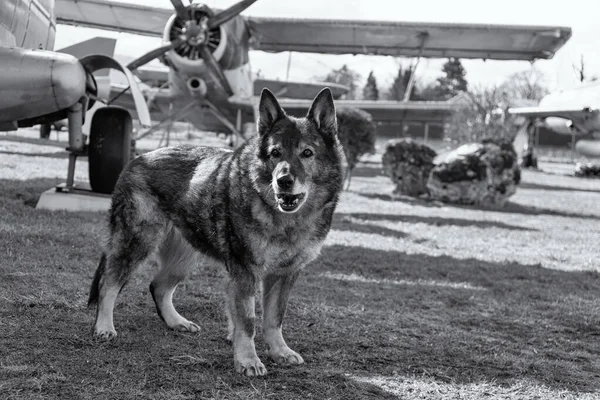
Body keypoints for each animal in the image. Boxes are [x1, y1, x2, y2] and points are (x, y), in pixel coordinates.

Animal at [86, 86, 344, 376]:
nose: (283, 181)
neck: (286, 221)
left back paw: (176, 322)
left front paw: (279, 351)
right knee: (109, 282)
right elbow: (247, 321)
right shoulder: (245, 272)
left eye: (307, 153)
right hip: (137, 242)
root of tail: (138, 157)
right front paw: (248, 360)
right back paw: (104, 327)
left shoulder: (283, 275)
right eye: (275, 153)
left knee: (158, 287)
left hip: (184, 259)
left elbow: (274, 319)